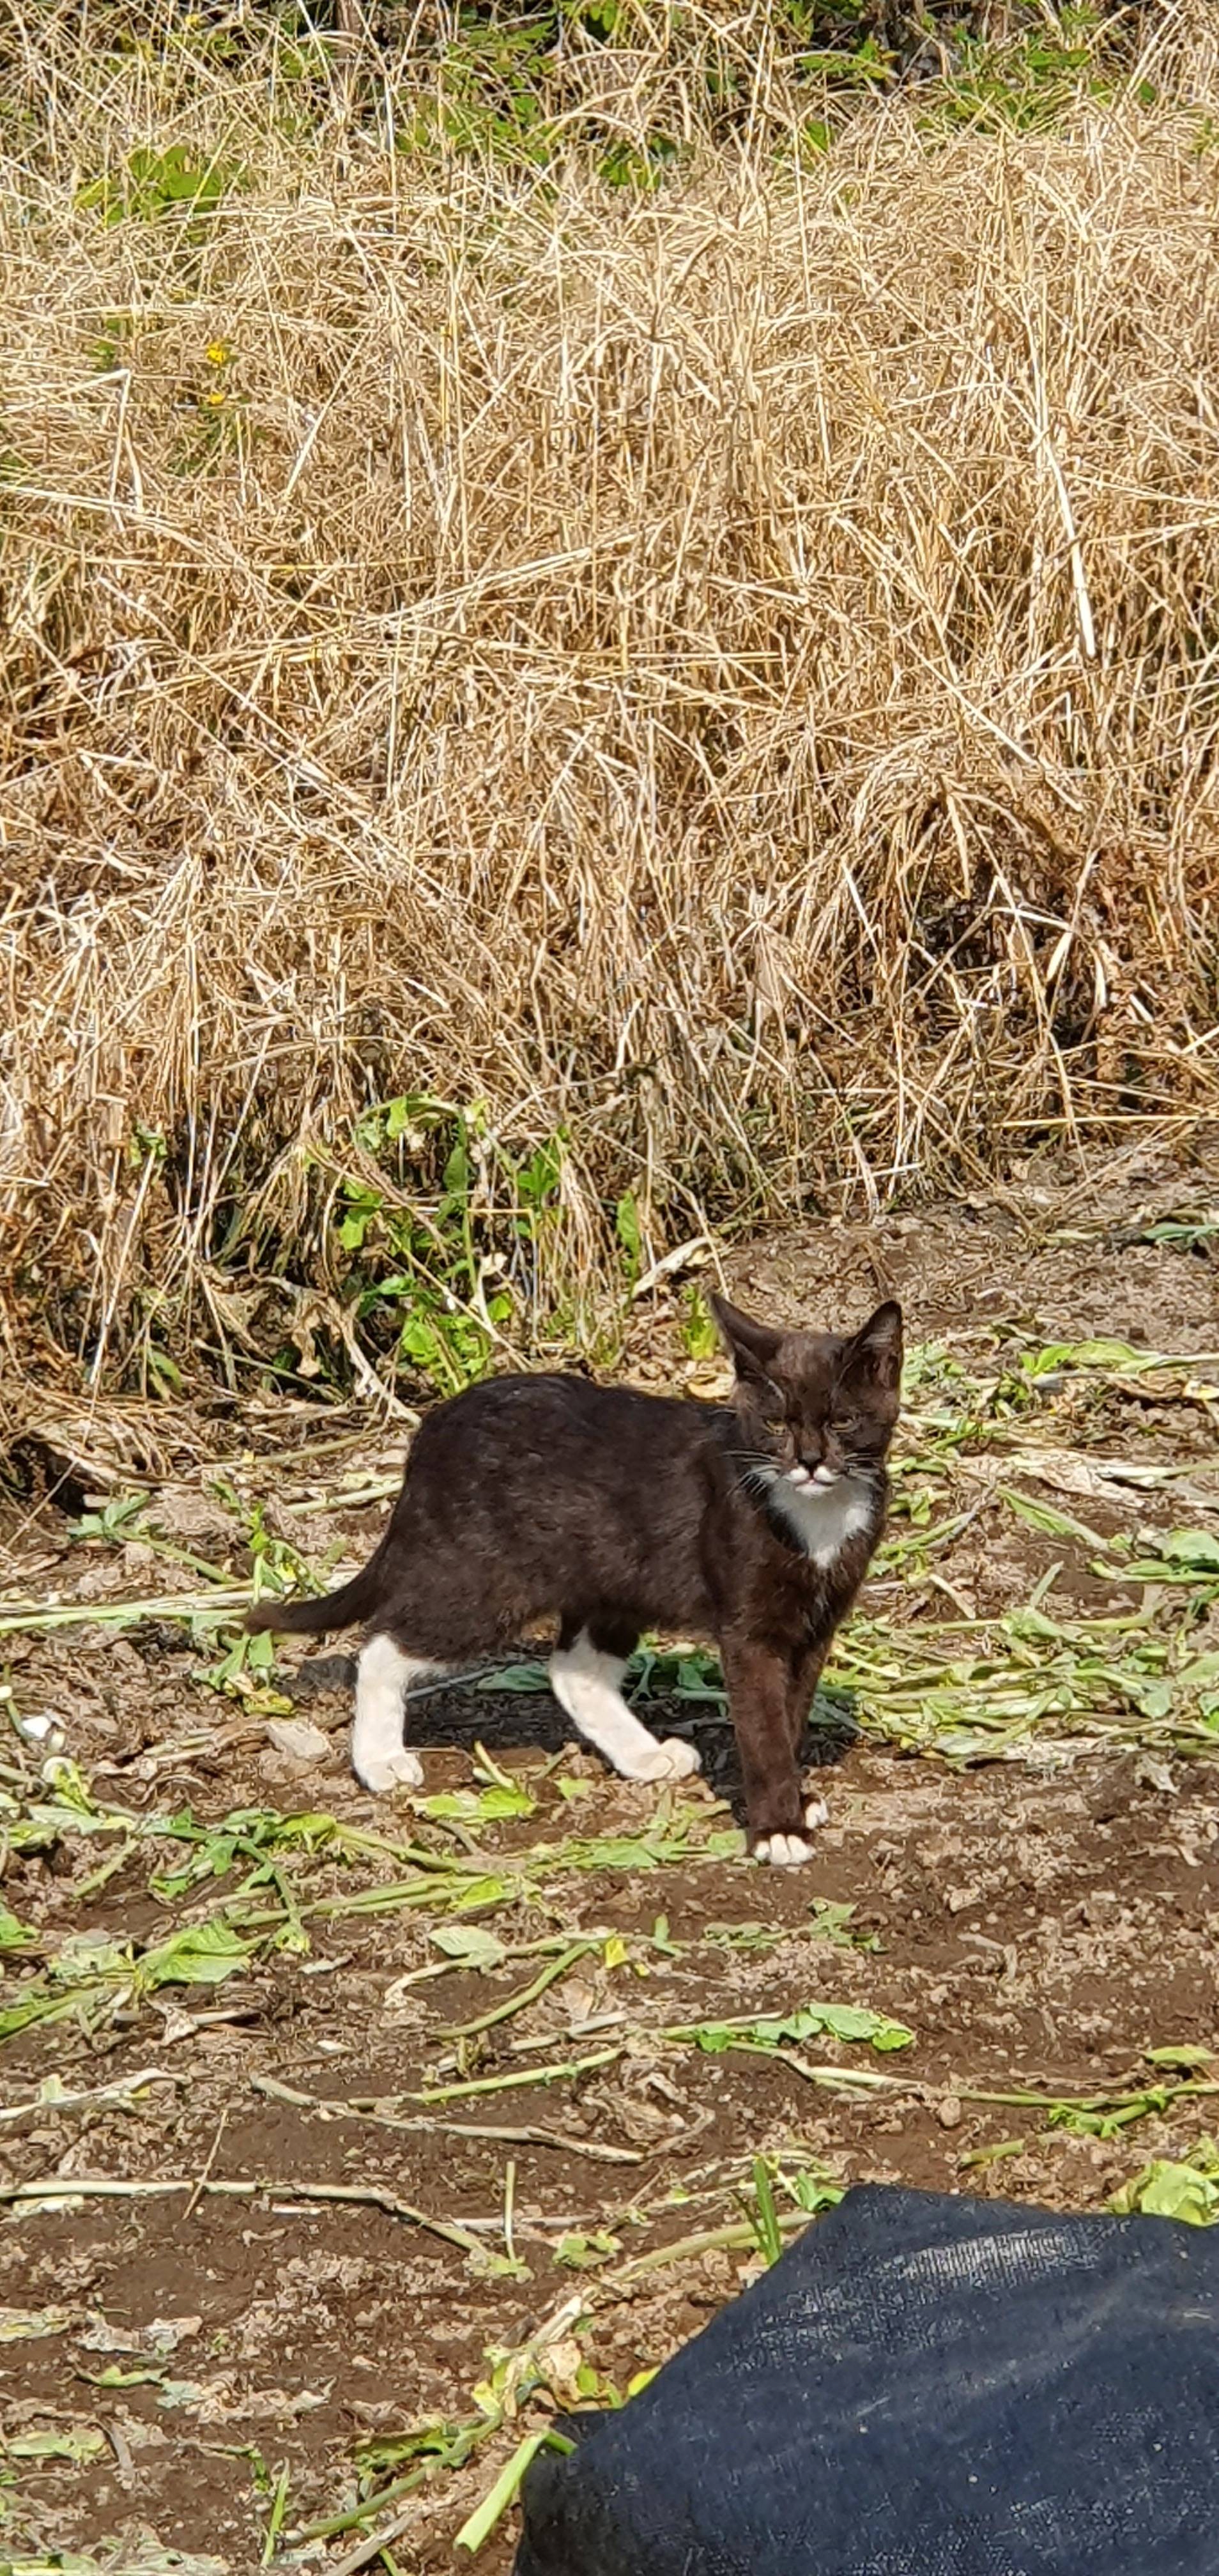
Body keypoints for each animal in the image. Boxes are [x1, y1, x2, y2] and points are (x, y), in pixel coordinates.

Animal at [247, 1298, 896, 1865]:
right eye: (776, 1423)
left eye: (843, 1420)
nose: (809, 1461)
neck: (818, 1518)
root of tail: (432, 1430)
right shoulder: (750, 1632)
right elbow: (763, 1728)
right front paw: (778, 1832)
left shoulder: (816, 1627)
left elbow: (792, 1712)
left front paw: (797, 1801)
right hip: (482, 1580)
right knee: (384, 1643)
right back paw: (380, 1761)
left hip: (613, 1580)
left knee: (574, 1670)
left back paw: (644, 1757)